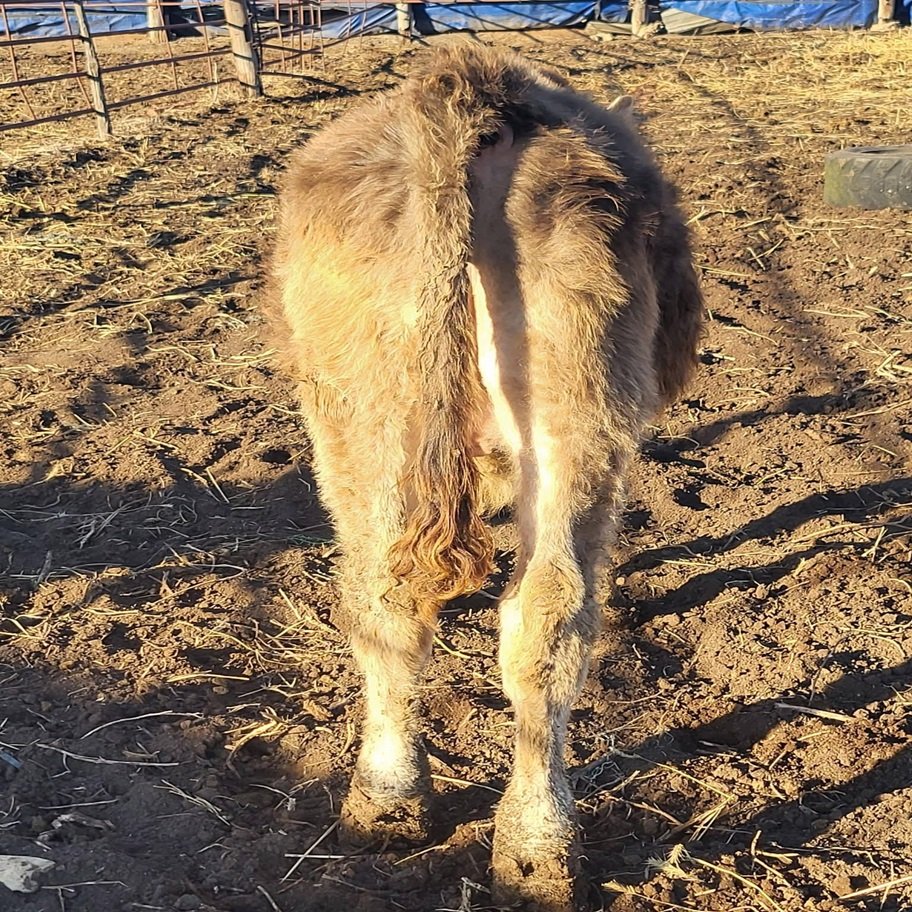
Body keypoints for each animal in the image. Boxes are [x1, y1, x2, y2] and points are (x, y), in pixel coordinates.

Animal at [265, 44, 703, 912]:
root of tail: (467, 91)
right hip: (580, 425)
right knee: (549, 618)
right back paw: (538, 842)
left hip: (357, 424)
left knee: (389, 609)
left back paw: (394, 799)